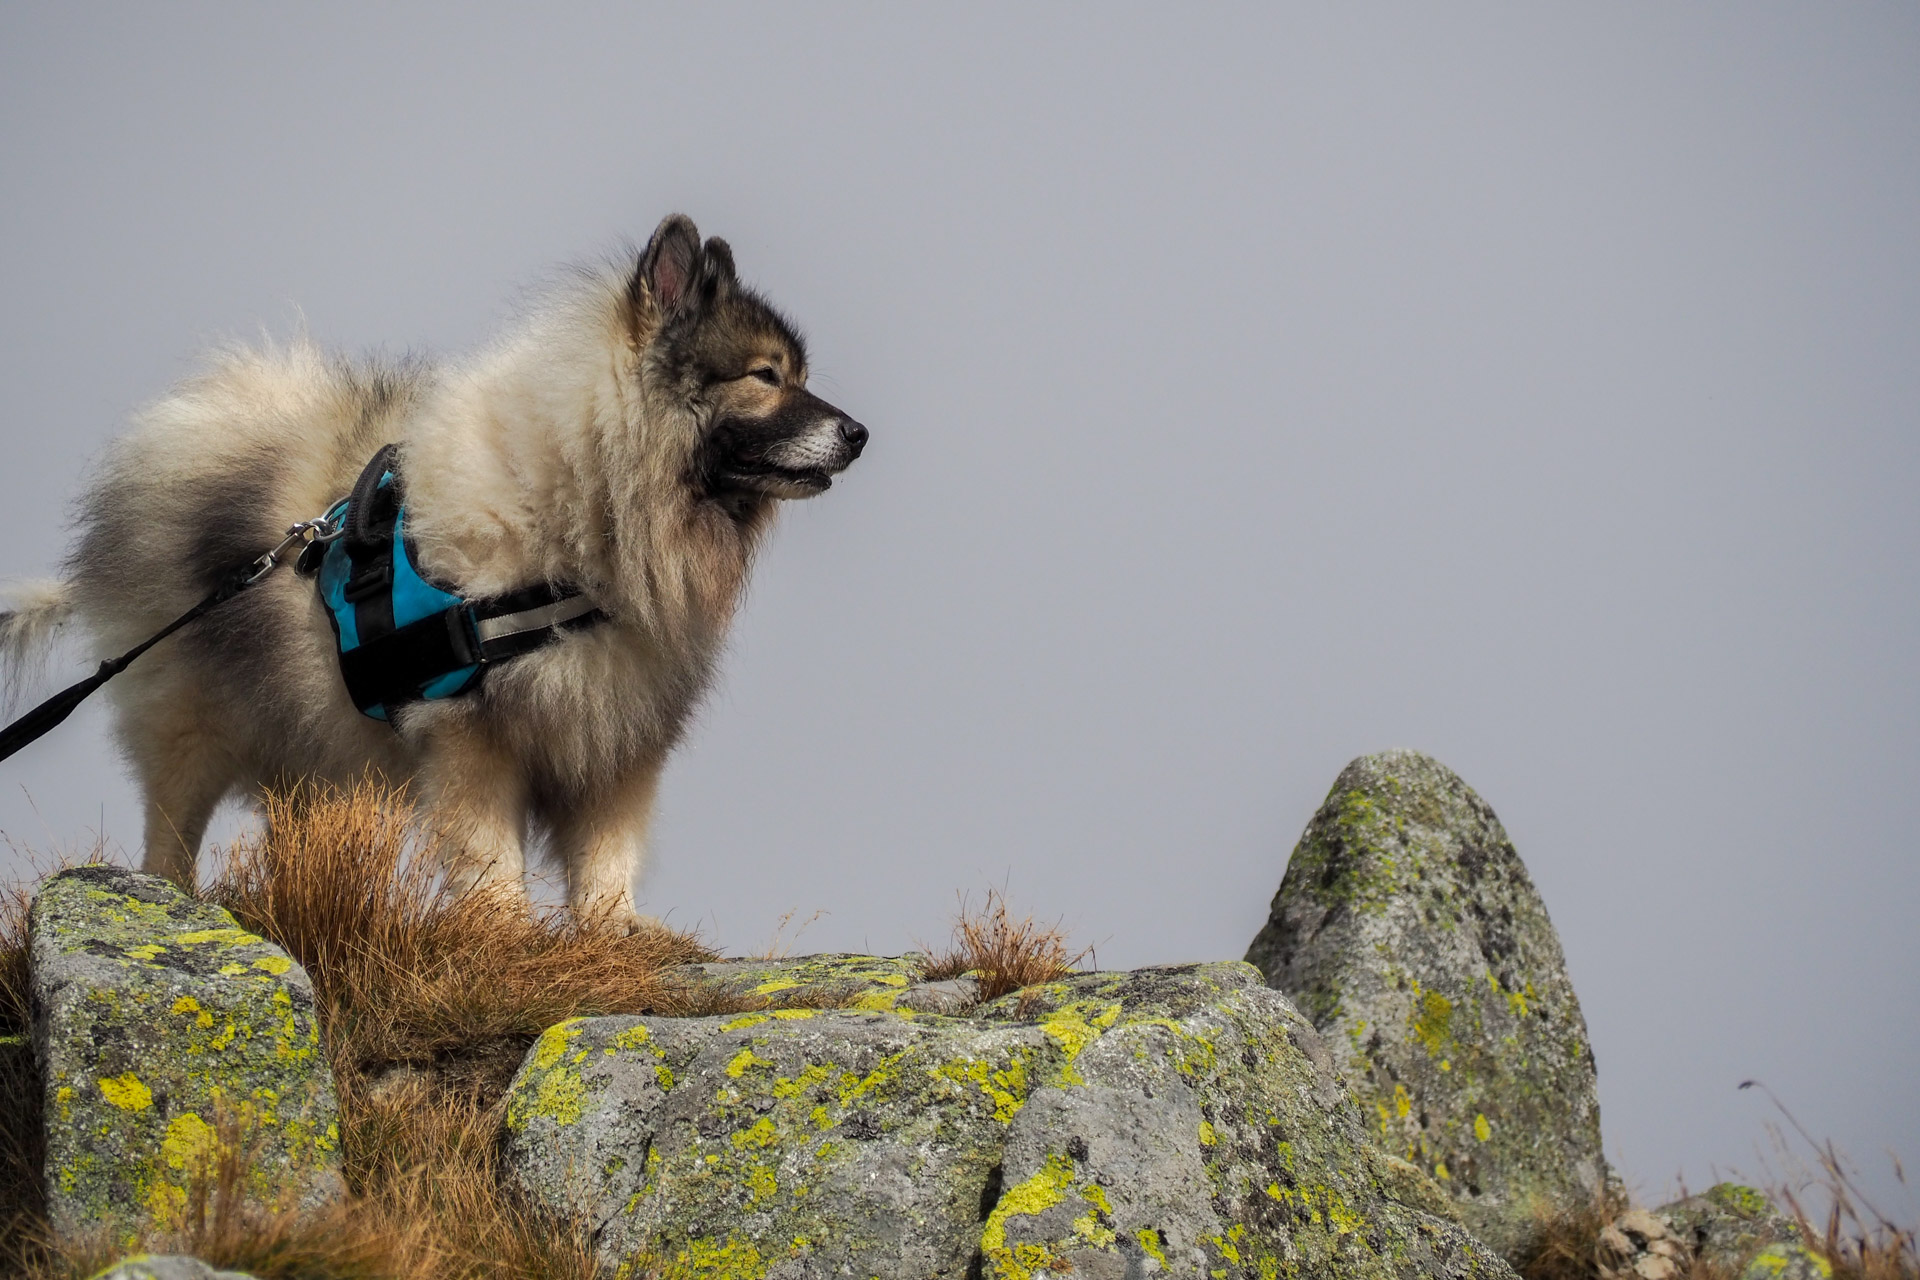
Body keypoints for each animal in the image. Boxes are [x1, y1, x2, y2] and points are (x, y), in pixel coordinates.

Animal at [0, 217, 871, 921]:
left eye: (795, 374)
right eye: (766, 376)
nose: (860, 433)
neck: (579, 508)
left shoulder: (615, 732)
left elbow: (607, 853)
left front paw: (617, 934)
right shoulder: (469, 734)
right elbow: (491, 857)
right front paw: (507, 934)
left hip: (305, 739)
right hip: (194, 724)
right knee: (170, 833)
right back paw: (166, 901)